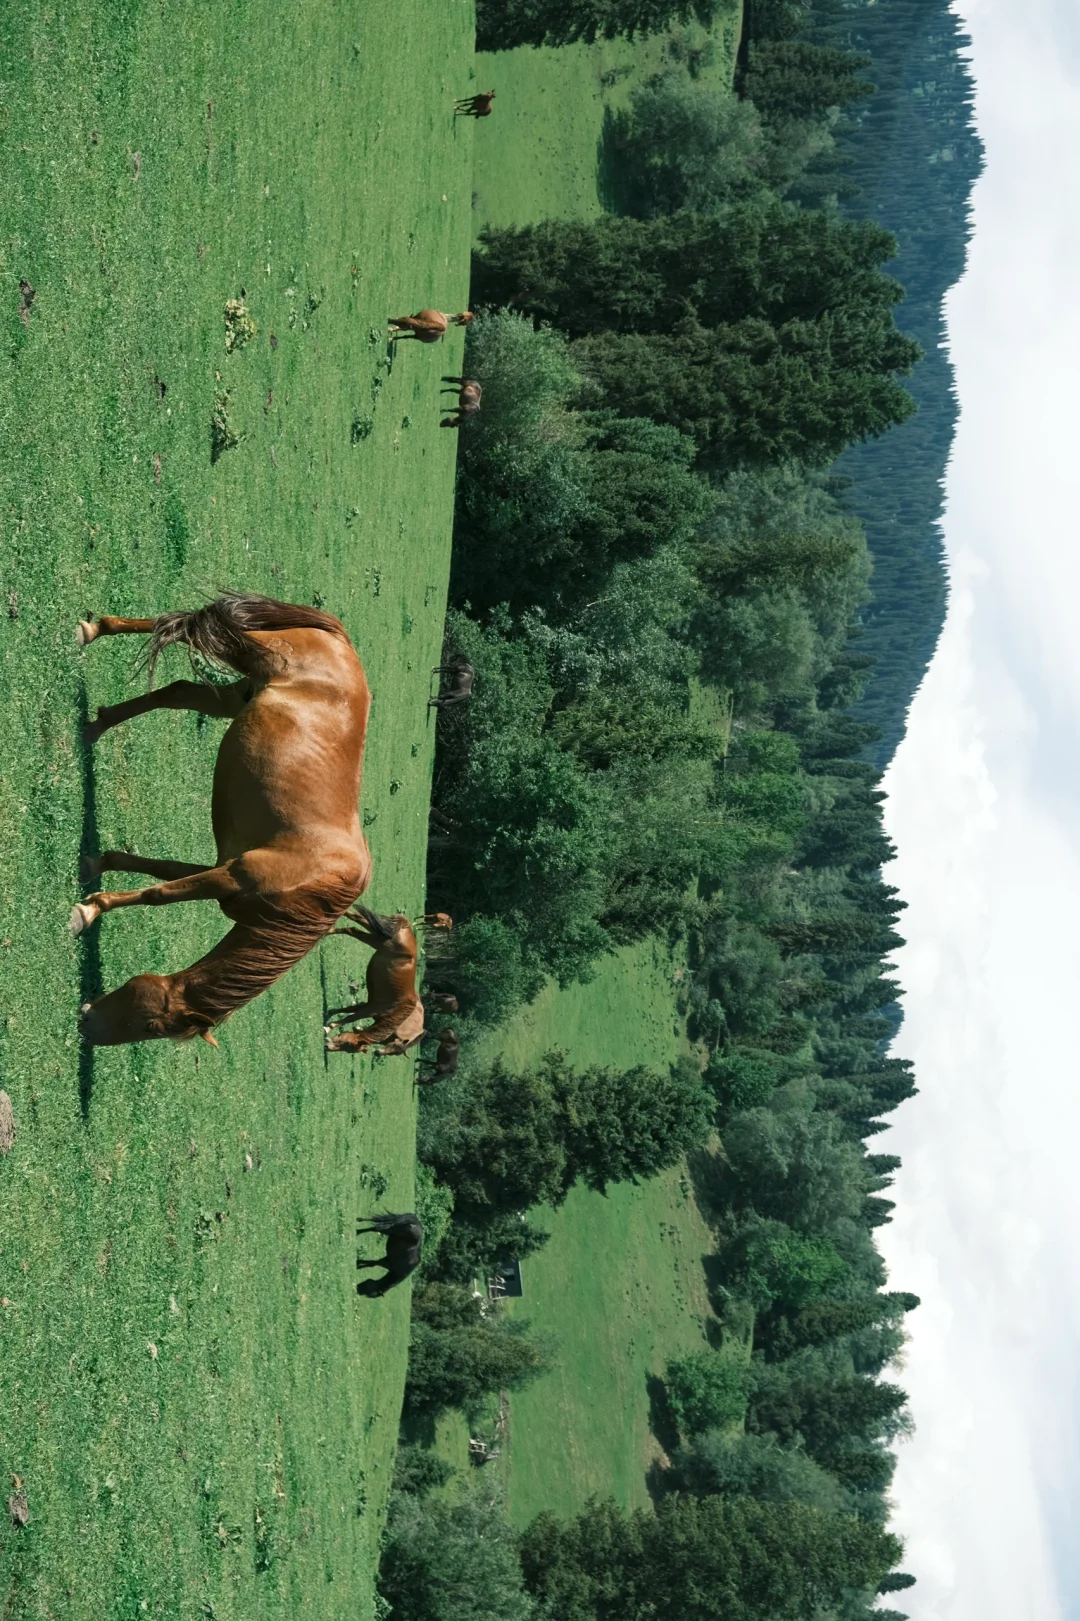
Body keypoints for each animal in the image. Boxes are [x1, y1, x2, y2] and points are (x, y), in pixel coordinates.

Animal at [74, 596, 369, 1050]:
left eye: (150, 1028)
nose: (86, 1026)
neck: (311, 888)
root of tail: (342, 641)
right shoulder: (230, 874)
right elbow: (158, 894)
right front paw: (88, 911)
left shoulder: (223, 869)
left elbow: (162, 871)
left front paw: (97, 864)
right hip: (249, 650)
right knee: (185, 627)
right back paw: (94, 631)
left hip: (237, 695)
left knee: (180, 689)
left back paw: (97, 724)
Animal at [319, 901, 421, 1050]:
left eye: (347, 1046)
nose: (327, 1046)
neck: (397, 1011)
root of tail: (406, 925)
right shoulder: (369, 1009)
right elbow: (350, 1017)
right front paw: (329, 1027)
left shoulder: (367, 1004)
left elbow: (349, 1009)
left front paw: (330, 1014)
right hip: (375, 940)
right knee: (352, 929)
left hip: (374, 932)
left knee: (355, 918)